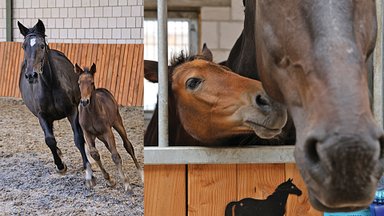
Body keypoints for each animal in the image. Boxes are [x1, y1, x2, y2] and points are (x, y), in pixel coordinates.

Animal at [17, 19, 93, 182]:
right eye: (23, 46)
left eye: (42, 45)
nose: (31, 75)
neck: (50, 85)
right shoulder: (42, 116)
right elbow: (50, 140)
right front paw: (60, 165)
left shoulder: (72, 111)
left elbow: (78, 137)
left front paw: (87, 167)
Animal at [74, 62, 142, 191]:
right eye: (79, 83)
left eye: (91, 82)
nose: (84, 101)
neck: (91, 113)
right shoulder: (88, 134)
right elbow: (95, 154)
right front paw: (110, 180)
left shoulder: (107, 131)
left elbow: (115, 156)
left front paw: (126, 184)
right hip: (101, 136)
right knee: (109, 148)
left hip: (117, 123)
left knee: (128, 146)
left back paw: (142, 175)